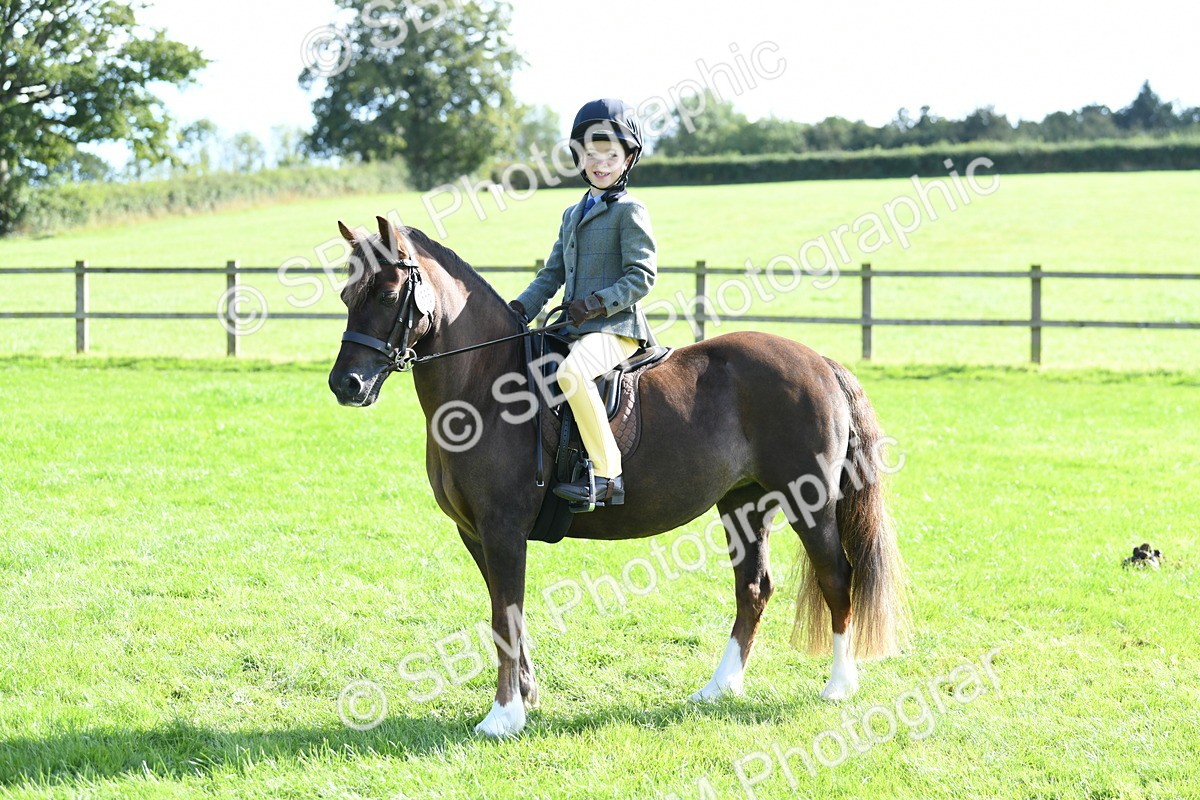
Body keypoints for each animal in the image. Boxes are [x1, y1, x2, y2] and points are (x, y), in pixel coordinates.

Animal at [328, 216, 909, 738]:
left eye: (387, 294)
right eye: (346, 293)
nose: (345, 384)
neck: (486, 388)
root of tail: (820, 361)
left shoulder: (503, 530)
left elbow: (505, 616)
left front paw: (503, 717)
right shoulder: (476, 534)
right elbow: (506, 614)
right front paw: (526, 697)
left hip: (808, 501)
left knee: (837, 577)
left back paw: (838, 686)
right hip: (743, 504)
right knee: (754, 587)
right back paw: (719, 687)